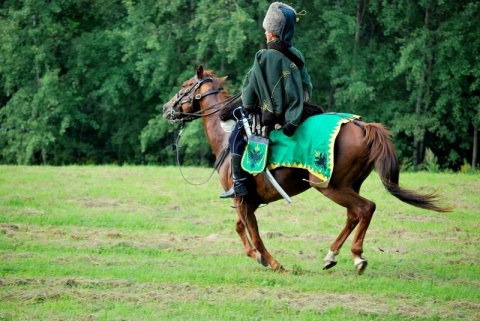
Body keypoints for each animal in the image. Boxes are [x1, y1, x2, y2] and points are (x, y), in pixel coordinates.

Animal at [163, 65, 452, 276]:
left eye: (185, 87)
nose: (166, 108)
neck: (225, 136)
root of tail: (362, 126)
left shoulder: (242, 199)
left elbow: (254, 234)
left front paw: (273, 263)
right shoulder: (248, 201)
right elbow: (240, 227)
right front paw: (257, 257)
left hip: (331, 186)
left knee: (365, 208)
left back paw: (357, 256)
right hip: (347, 186)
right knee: (354, 215)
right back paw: (331, 256)